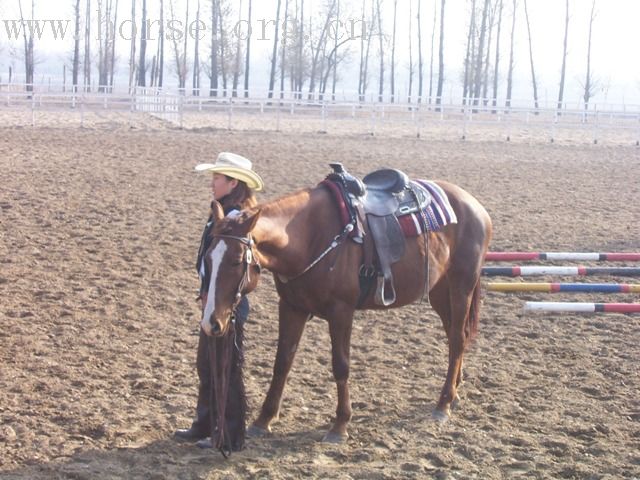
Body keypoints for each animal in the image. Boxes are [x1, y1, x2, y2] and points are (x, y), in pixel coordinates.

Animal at [202, 175, 492, 442]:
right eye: (208, 257)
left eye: (236, 261)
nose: (211, 323)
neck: (310, 236)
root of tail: (475, 206)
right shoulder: (292, 307)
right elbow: (282, 362)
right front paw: (264, 419)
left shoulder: (341, 311)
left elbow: (341, 365)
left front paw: (340, 424)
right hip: (440, 291)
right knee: (456, 337)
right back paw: (454, 391)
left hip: (461, 286)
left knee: (457, 339)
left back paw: (443, 403)